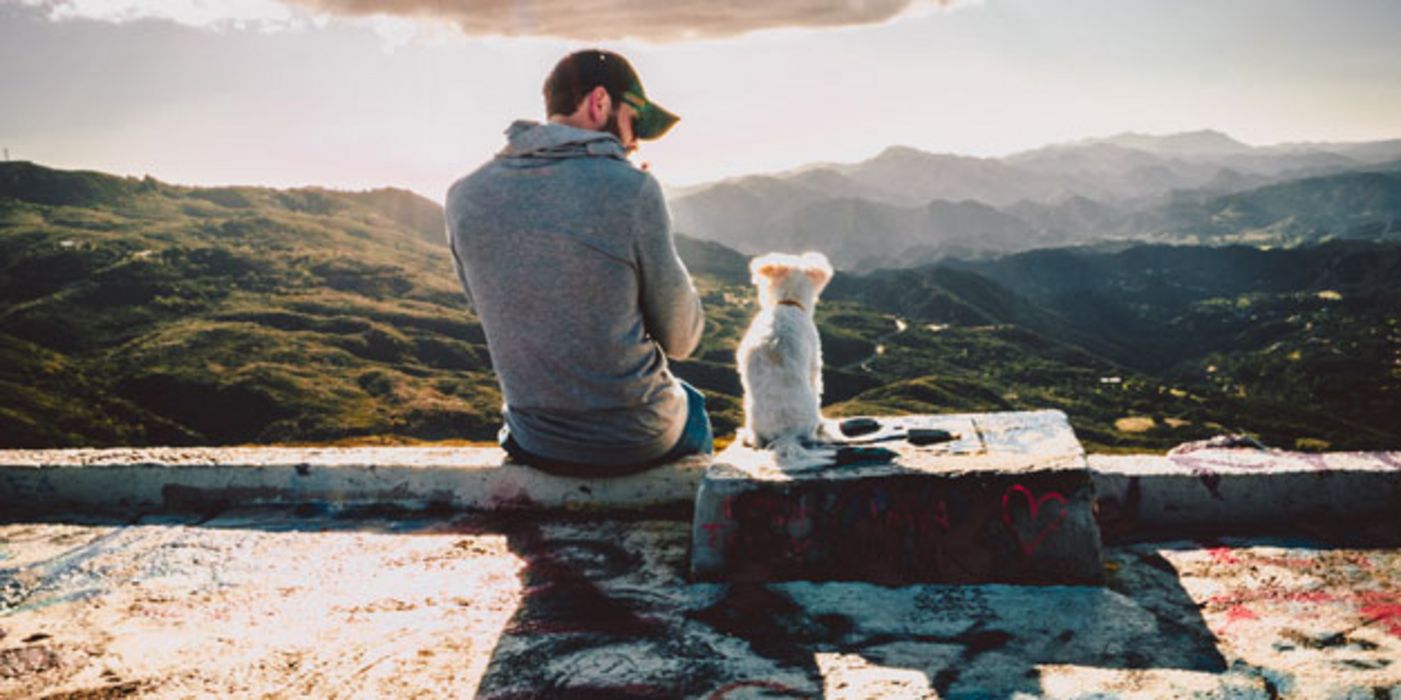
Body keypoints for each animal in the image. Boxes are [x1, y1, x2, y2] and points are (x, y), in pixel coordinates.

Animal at [739, 252, 834, 470]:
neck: (788, 303)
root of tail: (786, 436)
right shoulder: (814, 364)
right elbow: (818, 387)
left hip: (749, 408)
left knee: (756, 439)